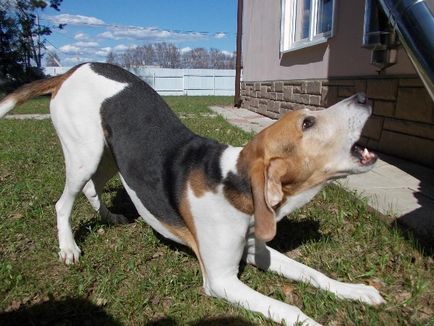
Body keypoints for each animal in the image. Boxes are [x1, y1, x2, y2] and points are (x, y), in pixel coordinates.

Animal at [0, 62, 384, 324]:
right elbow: (289, 309)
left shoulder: (256, 249)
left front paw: (356, 291)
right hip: (84, 154)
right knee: (62, 203)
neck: (234, 183)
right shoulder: (221, 280)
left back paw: (110, 217)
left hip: (110, 155)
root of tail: (72, 69)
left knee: (94, 189)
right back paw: (68, 246)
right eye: (307, 123)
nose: (364, 96)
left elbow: (313, 274)